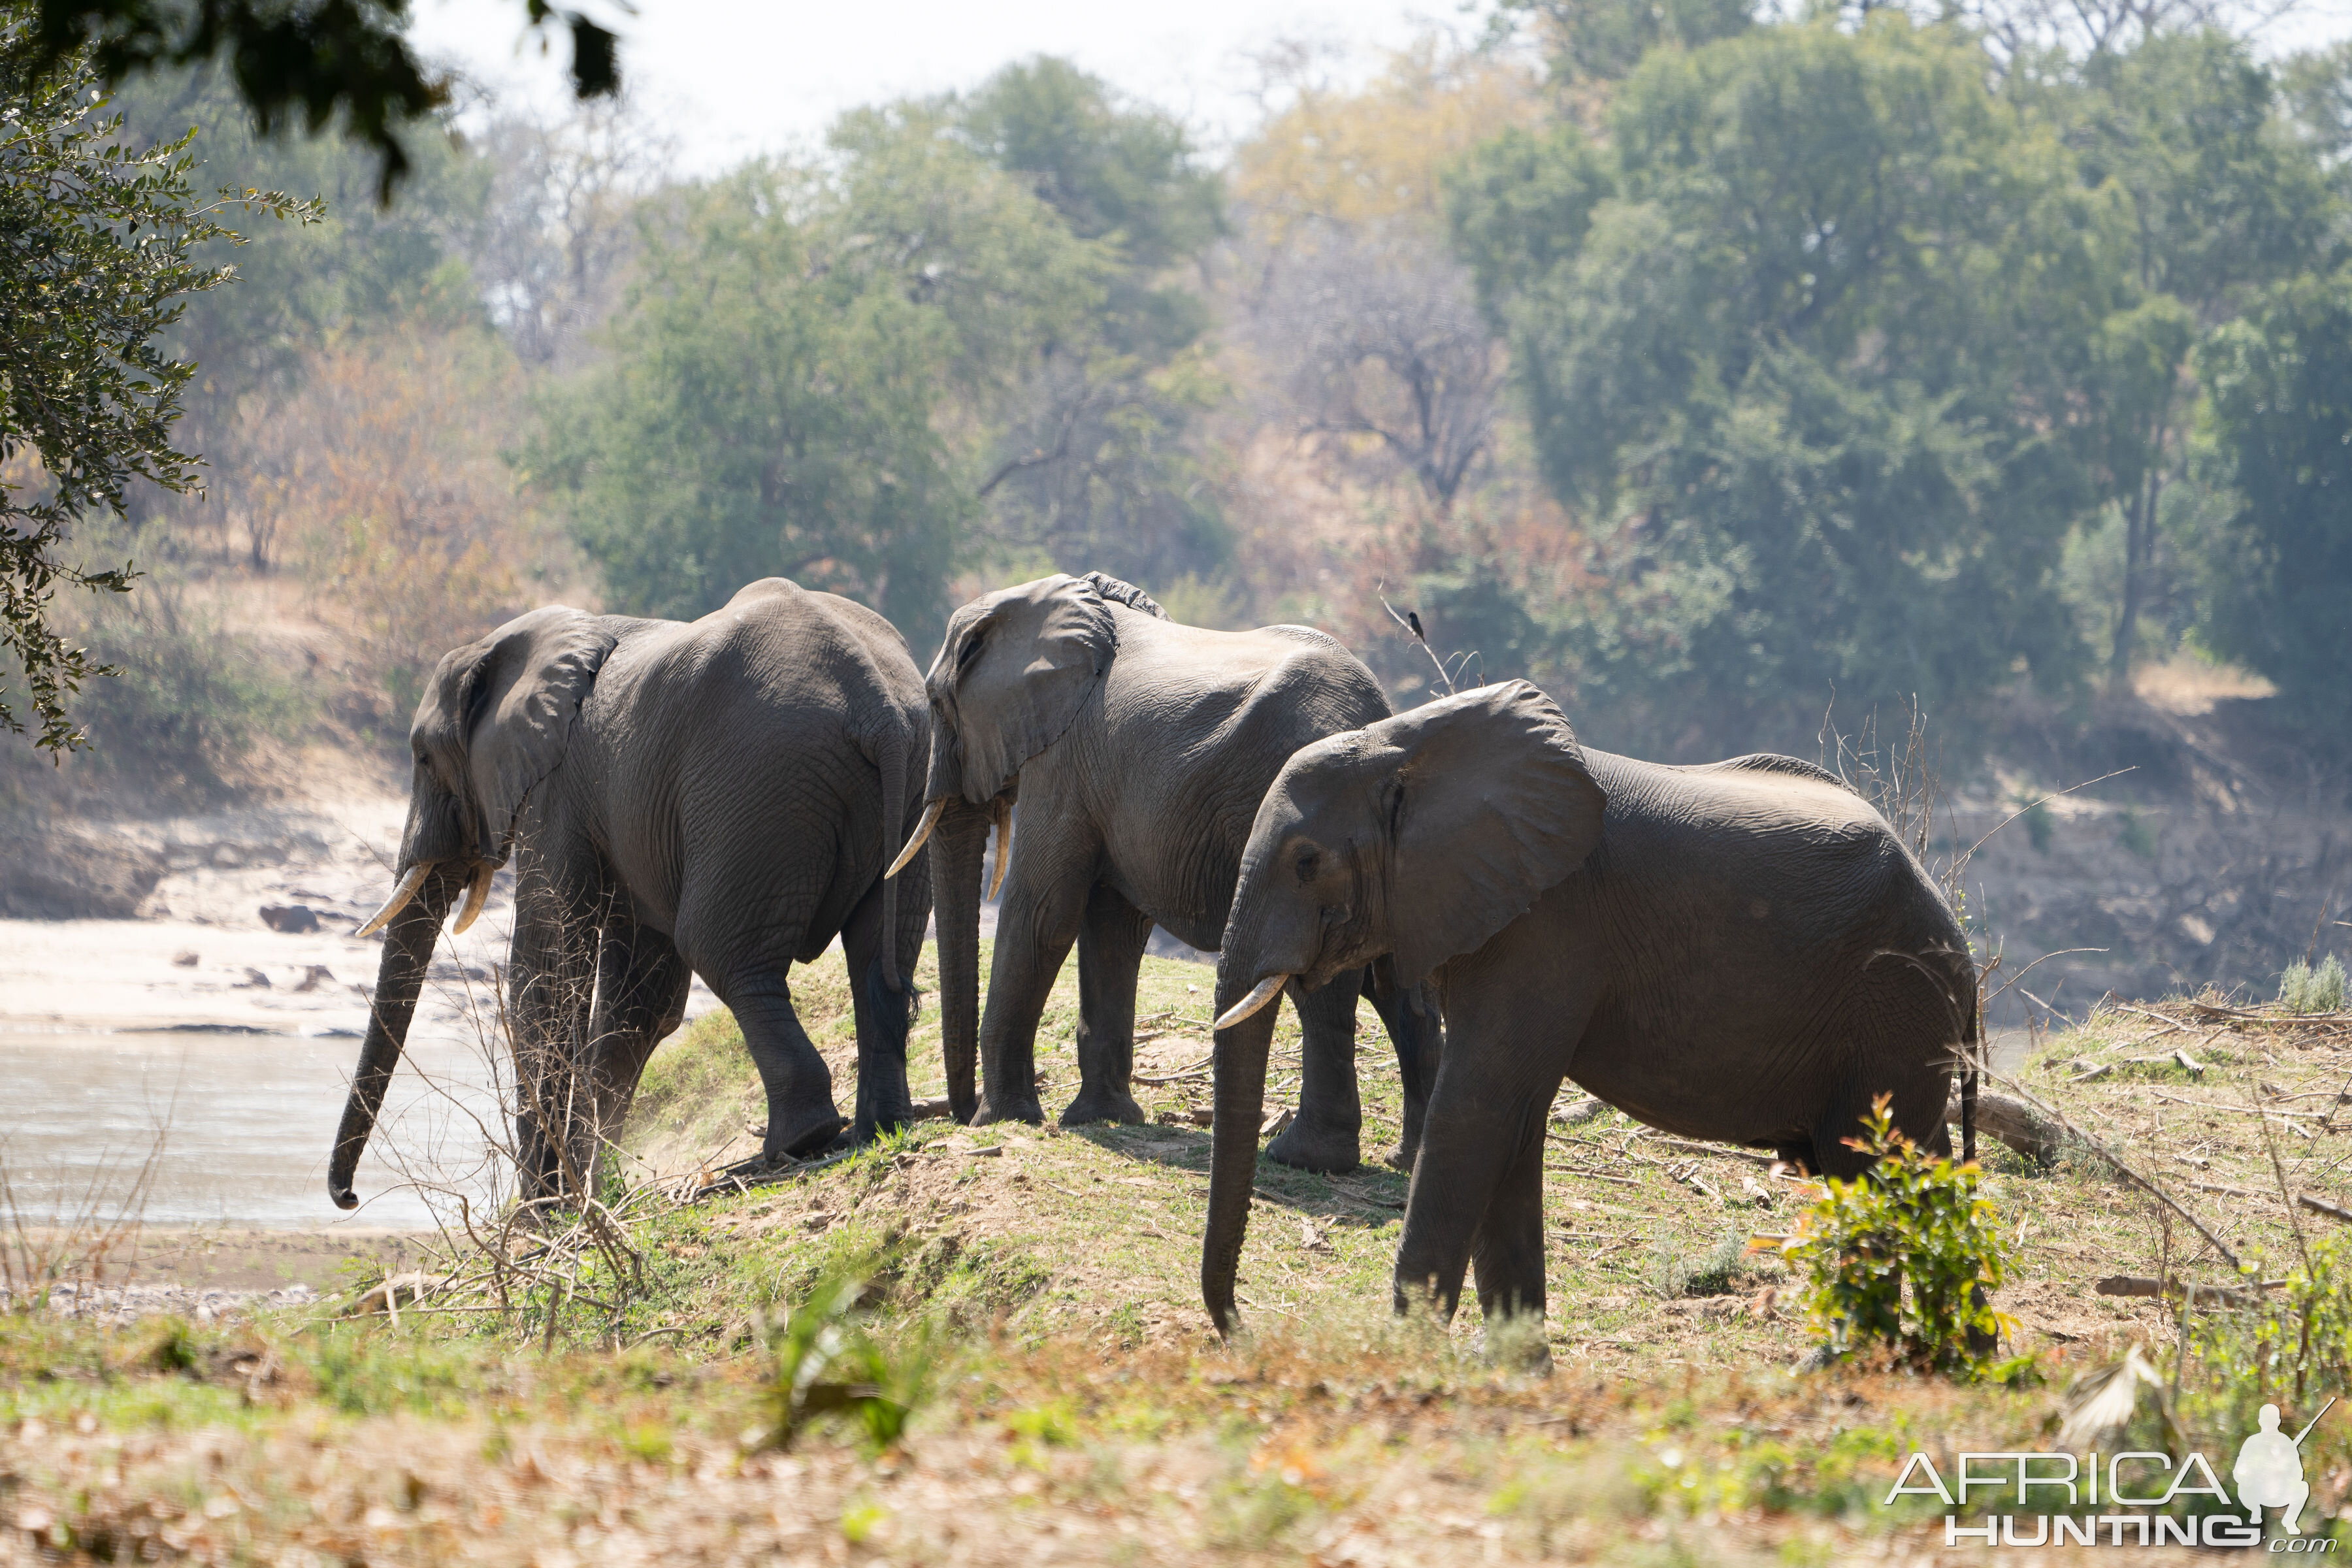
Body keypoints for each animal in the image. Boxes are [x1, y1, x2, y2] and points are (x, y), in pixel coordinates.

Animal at [327, 580, 931, 1213]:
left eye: (422, 757)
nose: (348, 1198)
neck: (507, 645)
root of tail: (878, 709)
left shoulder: (557, 790)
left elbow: (548, 972)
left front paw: (542, 1212)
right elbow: (640, 998)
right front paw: (585, 1194)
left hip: (764, 788)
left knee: (725, 955)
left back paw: (795, 1143)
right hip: (909, 780)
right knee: (878, 959)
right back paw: (877, 1127)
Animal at [884, 571, 1429, 1170]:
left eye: (937, 703)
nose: (956, 1114)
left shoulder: (1065, 760)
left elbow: (1045, 913)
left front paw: (1004, 1120)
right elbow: (1113, 927)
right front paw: (1101, 1118)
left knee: (1321, 982)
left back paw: (1304, 1158)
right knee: (1398, 986)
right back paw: (1405, 1159)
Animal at [1204, 677, 1976, 1335]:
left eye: (1307, 862)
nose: (1243, 1330)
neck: (1408, 747)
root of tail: (1962, 949)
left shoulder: (1549, 925)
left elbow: (1477, 1111)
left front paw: (1406, 1361)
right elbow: (1511, 1125)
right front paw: (1519, 1368)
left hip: (1893, 1012)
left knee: (1868, 1174)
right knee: (1922, 1168)